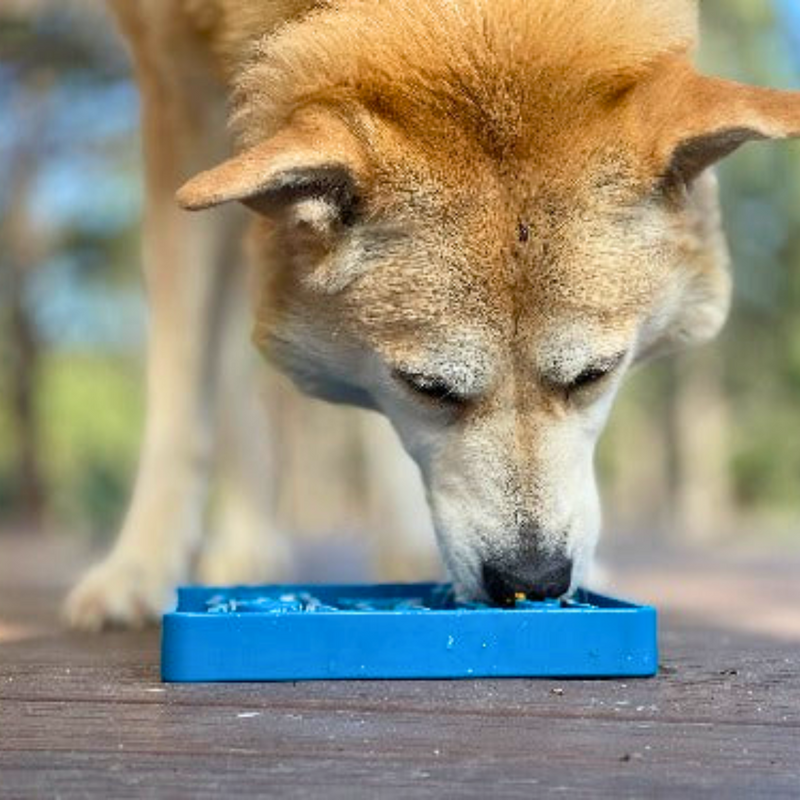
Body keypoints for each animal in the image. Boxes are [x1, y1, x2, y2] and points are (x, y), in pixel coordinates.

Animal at [64, 0, 800, 628]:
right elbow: (183, 386)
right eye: (429, 388)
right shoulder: (176, 88)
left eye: (594, 375)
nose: (533, 579)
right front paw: (139, 569)